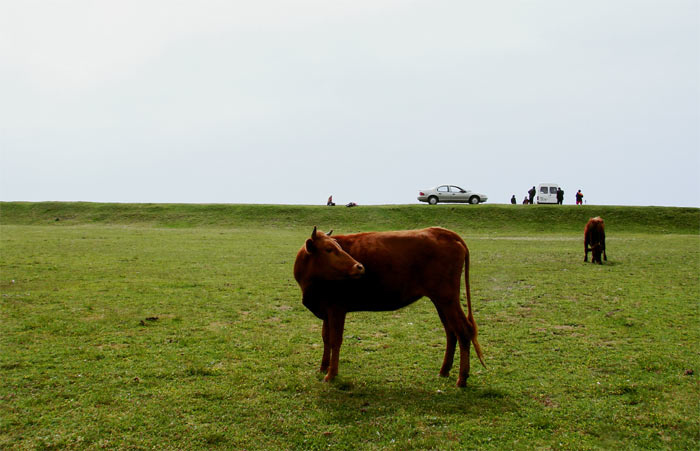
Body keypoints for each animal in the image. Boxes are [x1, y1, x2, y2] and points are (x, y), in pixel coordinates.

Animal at [293, 226, 485, 387]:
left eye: (338, 247)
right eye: (328, 249)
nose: (359, 266)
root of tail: (442, 231)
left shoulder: (337, 308)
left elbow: (335, 340)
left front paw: (331, 374)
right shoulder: (326, 310)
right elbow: (325, 338)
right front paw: (322, 368)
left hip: (447, 298)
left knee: (463, 331)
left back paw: (462, 378)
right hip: (441, 301)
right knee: (451, 332)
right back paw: (444, 371)